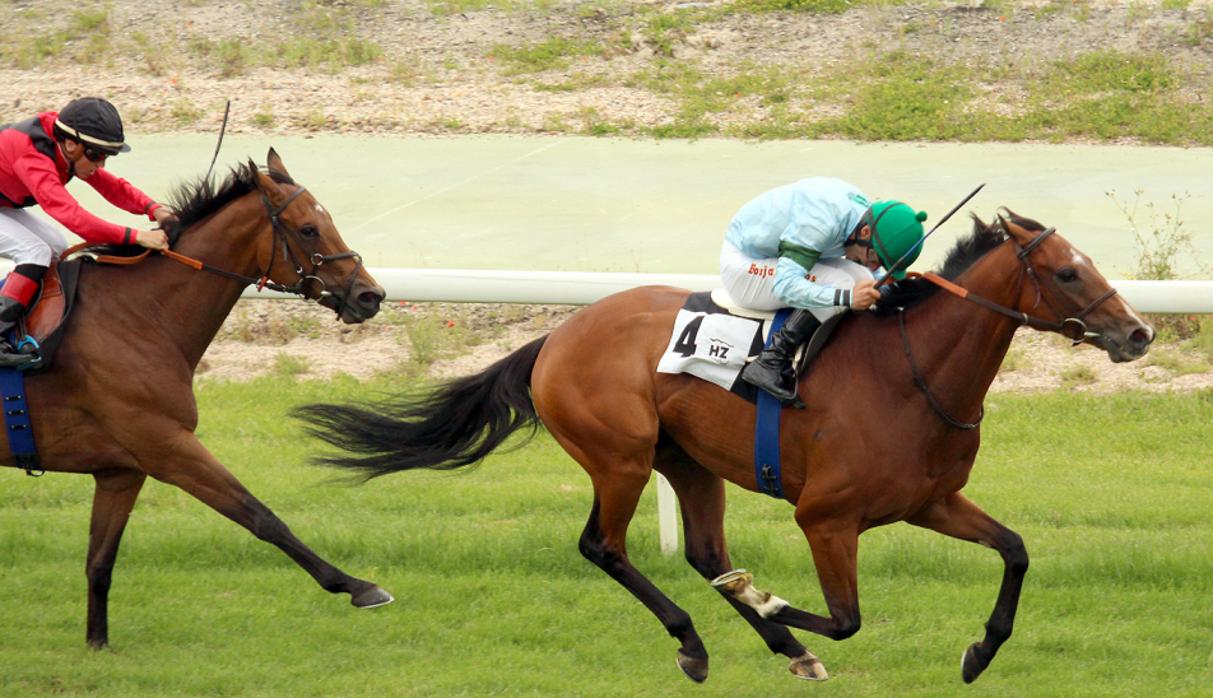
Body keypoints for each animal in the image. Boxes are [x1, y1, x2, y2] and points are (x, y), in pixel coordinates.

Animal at [0, 148, 393, 650]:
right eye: (308, 229)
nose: (370, 295)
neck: (139, 315)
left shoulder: (122, 471)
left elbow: (100, 562)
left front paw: (97, 643)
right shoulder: (167, 446)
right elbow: (260, 515)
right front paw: (358, 586)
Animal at [298, 211, 1149, 684]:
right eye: (1068, 273)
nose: (1137, 332)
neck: (912, 373)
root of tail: (556, 335)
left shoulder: (930, 501)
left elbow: (1015, 552)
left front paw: (979, 652)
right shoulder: (825, 519)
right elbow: (844, 618)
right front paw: (768, 600)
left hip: (687, 461)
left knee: (705, 552)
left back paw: (772, 642)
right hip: (621, 456)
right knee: (603, 547)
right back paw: (696, 643)